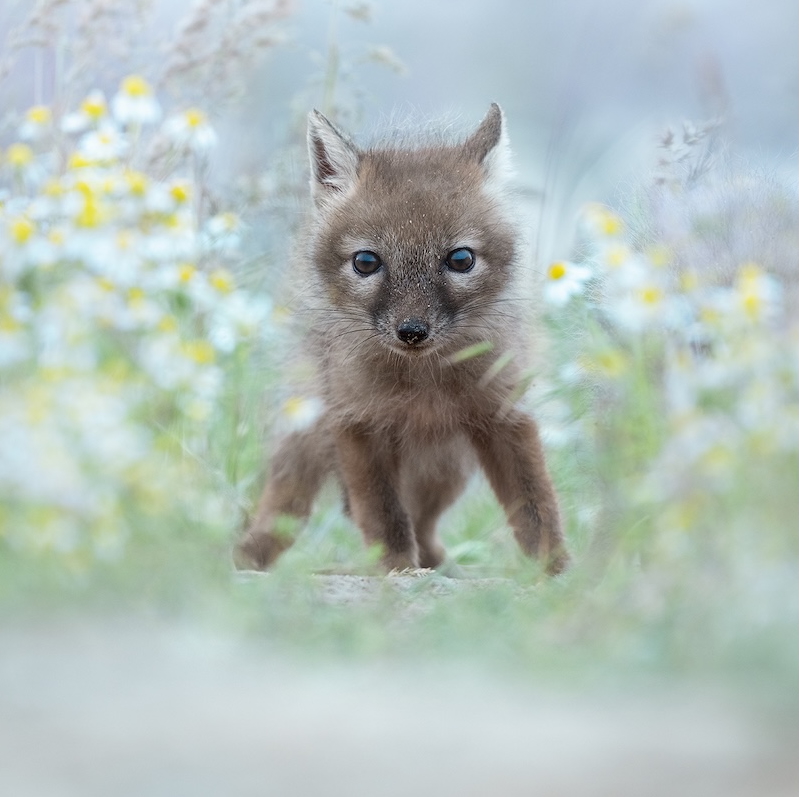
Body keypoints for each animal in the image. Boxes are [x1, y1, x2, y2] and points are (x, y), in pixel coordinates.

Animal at [235, 103, 570, 576]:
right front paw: (394, 572)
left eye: (460, 259)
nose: (412, 331)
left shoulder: (504, 415)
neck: (422, 386)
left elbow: (536, 506)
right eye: (366, 262)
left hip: (446, 470)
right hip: (310, 442)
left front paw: (558, 572)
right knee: (286, 510)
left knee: (424, 526)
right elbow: (384, 515)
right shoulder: (358, 424)